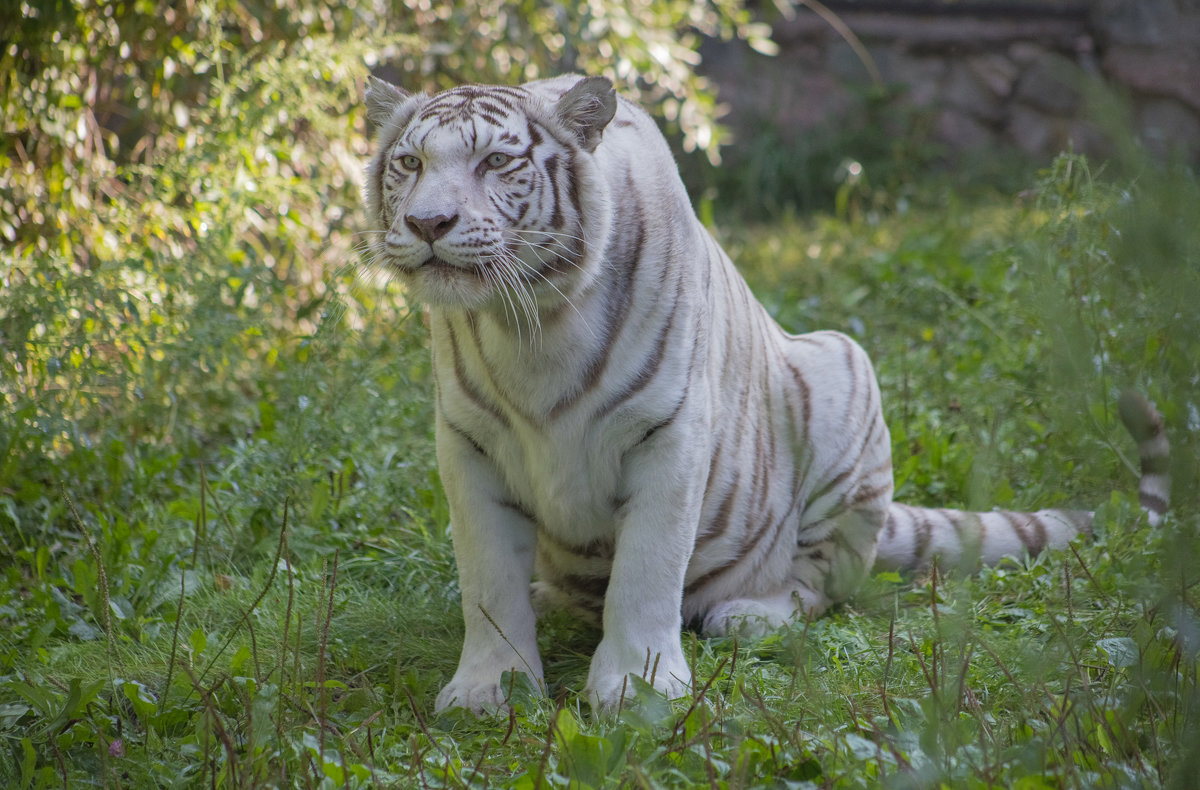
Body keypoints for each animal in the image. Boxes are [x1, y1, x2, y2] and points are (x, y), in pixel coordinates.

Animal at [362, 75, 1171, 715]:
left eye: (496, 161)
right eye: (410, 163)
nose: (427, 223)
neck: (530, 322)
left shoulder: (670, 435)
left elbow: (646, 574)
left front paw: (637, 690)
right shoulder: (468, 446)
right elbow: (488, 584)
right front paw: (487, 690)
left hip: (843, 374)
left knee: (815, 586)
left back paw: (751, 615)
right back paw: (548, 598)